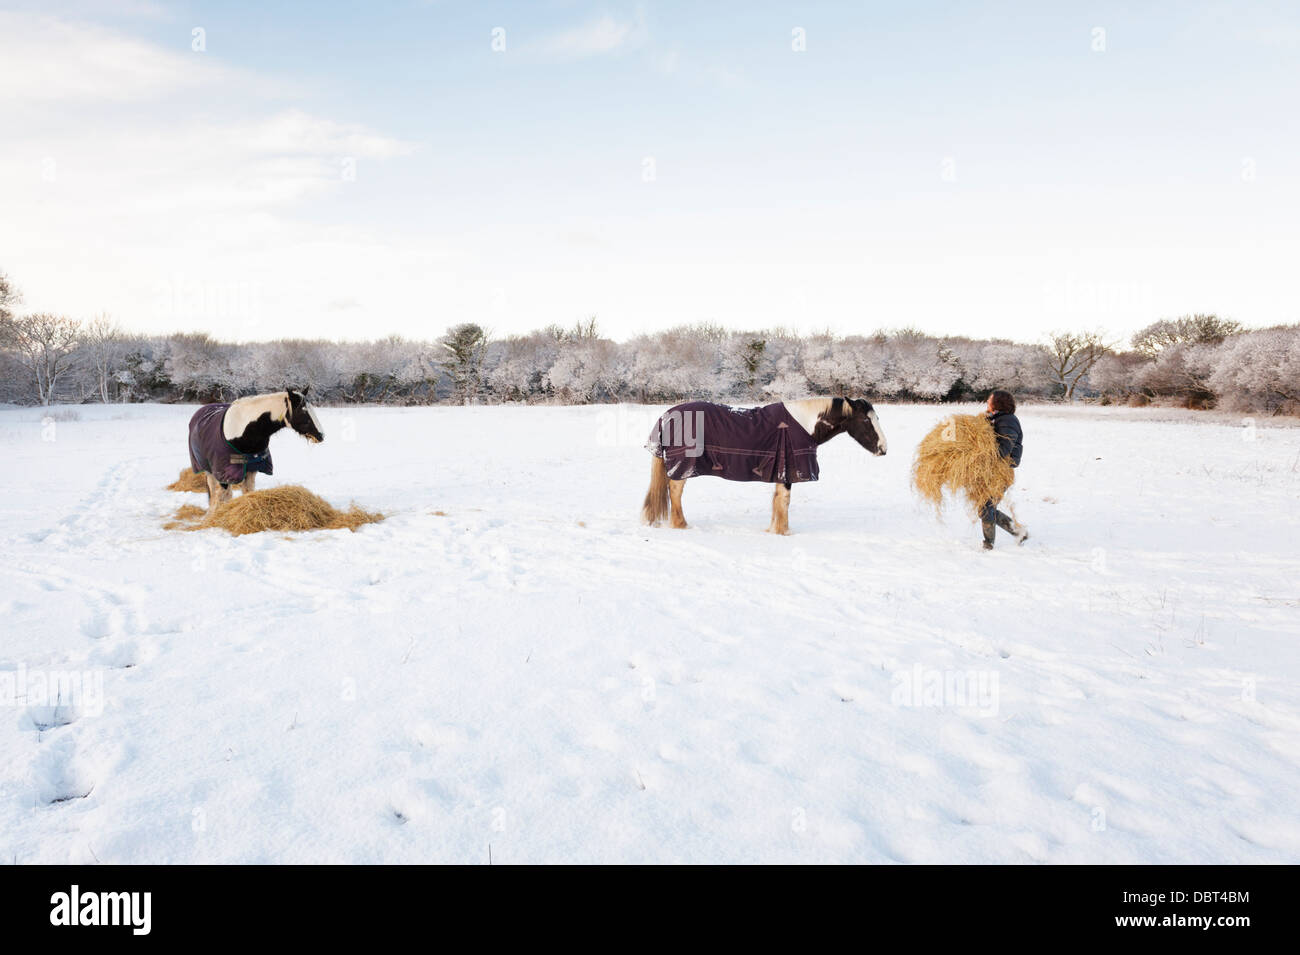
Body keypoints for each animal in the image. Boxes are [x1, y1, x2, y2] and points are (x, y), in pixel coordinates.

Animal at [187, 387, 325, 514]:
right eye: (303, 412)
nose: (321, 435)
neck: (243, 431)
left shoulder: (252, 469)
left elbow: (247, 492)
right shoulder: (223, 475)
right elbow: (222, 497)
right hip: (208, 470)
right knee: (214, 492)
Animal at [642, 392, 889, 535]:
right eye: (866, 419)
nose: (884, 449)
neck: (802, 423)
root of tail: (667, 415)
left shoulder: (781, 471)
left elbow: (778, 501)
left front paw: (774, 529)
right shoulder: (788, 471)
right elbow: (784, 501)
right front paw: (783, 532)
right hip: (683, 467)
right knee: (675, 491)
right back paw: (681, 525)